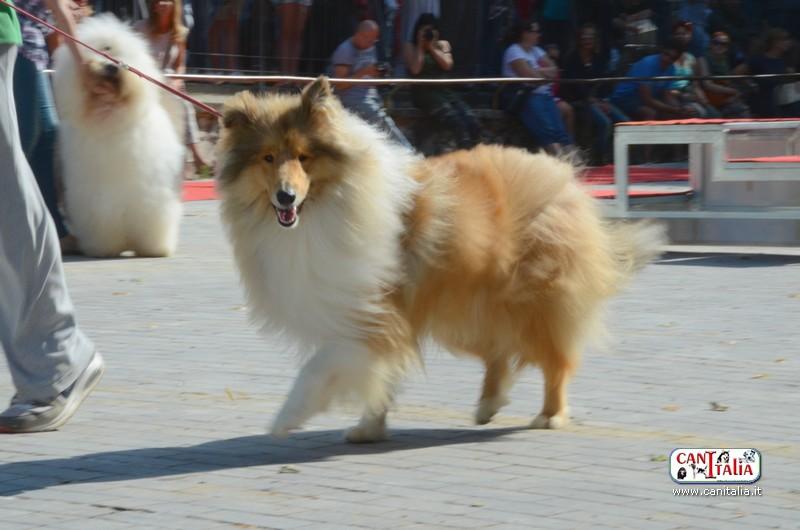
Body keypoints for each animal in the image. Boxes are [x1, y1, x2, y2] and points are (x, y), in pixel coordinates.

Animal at [51, 14, 184, 257]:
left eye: (115, 53)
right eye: (97, 51)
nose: (111, 67)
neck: (111, 115)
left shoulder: (153, 190)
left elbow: (153, 215)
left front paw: (154, 248)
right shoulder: (93, 197)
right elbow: (101, 220)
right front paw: (104, 248)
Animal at [216, 77, 665, 442]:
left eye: (304, 157)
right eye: (268, 158)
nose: (285, 197)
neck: (329, 203)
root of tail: (560, 173)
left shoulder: (370, 313)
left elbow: (319, 368)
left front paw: (285, 419)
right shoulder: (374, 315)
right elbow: (379, 377)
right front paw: (368, 429)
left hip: (530, 299)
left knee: (555, 357)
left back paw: (550, 415)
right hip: (464, 305)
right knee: (499, 351)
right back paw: (489, 404)